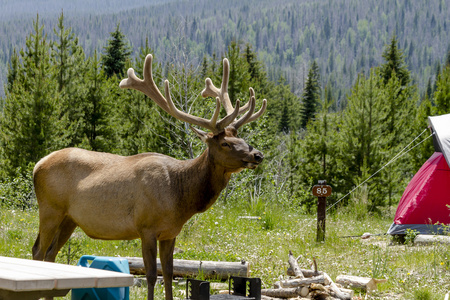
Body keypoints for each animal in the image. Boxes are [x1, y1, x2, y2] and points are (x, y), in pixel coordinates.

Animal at [33, 52, 268, 298]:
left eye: (241, 138)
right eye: (225, 143)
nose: (257, 155)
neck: (181, 197)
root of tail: (37, 165)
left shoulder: (170, 233)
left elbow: (169, 273)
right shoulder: (146, 227)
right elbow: (152, 275)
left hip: (69, 218)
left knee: (50, 254)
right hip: (50, 209)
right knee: (38, 250)